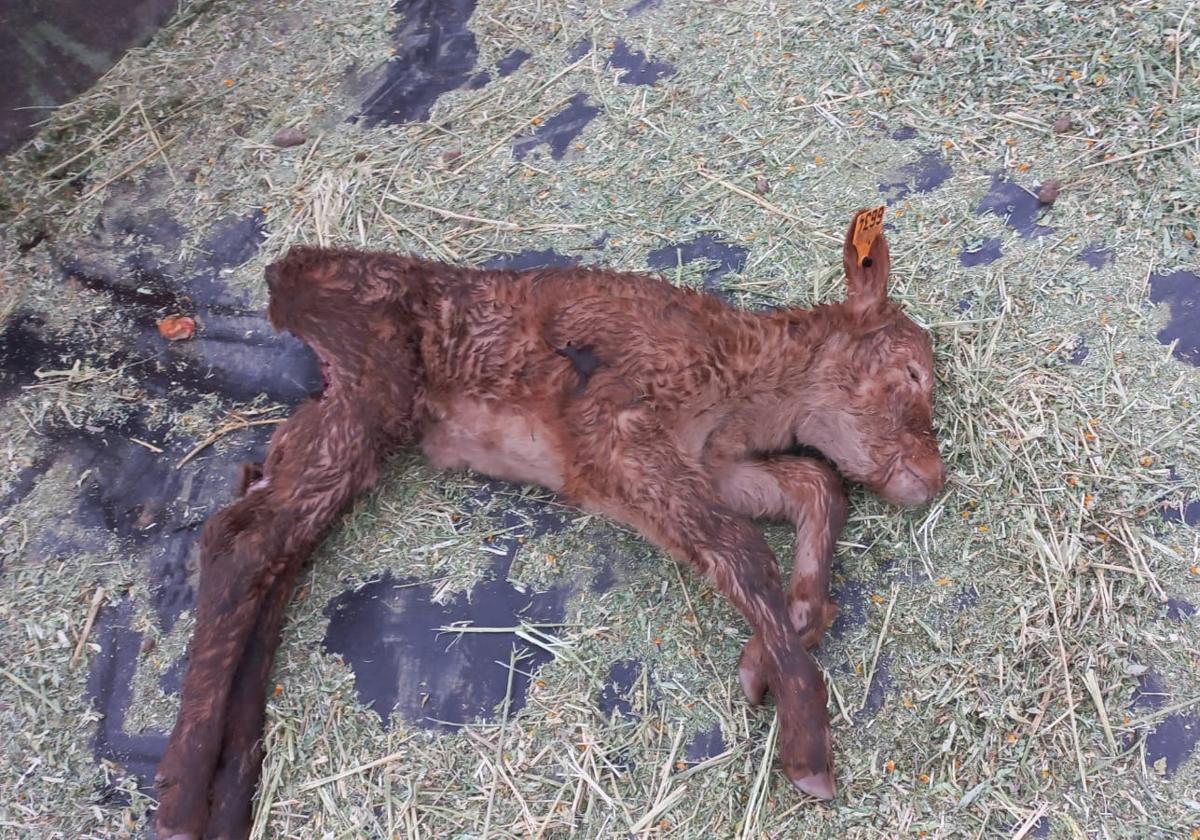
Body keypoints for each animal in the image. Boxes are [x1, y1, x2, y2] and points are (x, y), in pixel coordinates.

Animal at [152, 210, 945, 840]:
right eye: (911, 375)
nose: (934, 475)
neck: (746, 383)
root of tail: (286, 272)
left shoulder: (714, 463)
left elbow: (818, 487)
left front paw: (779, 644)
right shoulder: (615, 432)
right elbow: (744, 550)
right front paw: (807, 744)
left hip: (342, 403)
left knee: (262, 533)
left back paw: (228, 792)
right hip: (375, 382)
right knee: (247, 540)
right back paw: (184, 804)